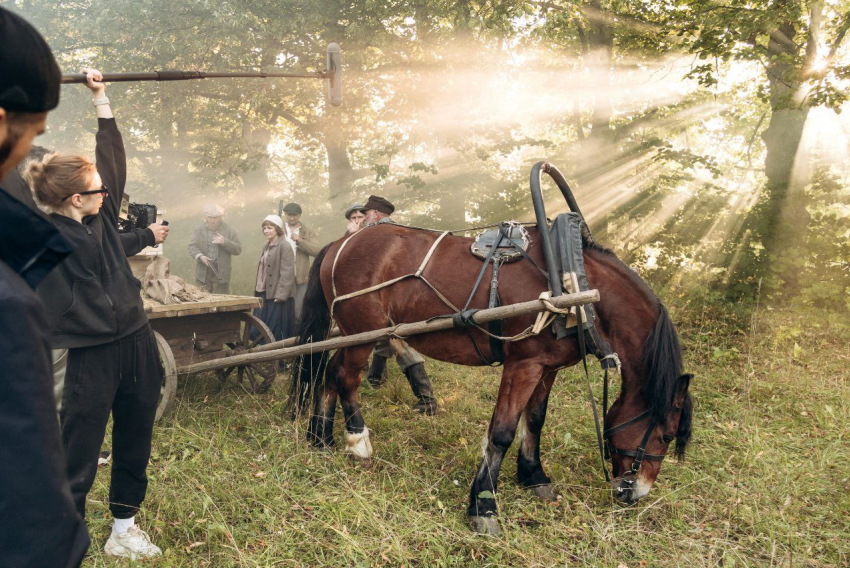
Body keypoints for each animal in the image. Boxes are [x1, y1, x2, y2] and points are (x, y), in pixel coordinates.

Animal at [290, 221, 688, 532]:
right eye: (666, 435)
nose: (635, 493)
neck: (573, 282)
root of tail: (340, 243)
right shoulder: (523, 364)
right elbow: (502, 433)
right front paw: (483, 504)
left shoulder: (547, 367)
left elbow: (535, 421)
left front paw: (534, 475)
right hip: (364, 332)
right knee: (346, 377)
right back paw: (357, 441)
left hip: (350, 333)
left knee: (329, 372)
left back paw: (320, 437)